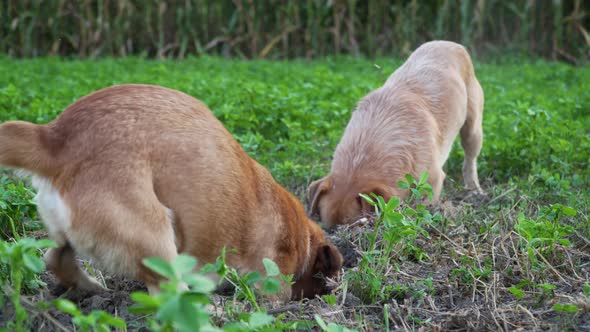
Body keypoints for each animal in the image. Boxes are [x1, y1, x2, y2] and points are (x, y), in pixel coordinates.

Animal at [0, 83, 344, 300]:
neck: (300, 235)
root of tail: (55, 140)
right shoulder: (272, 273)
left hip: (66, 234)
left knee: (55, 258)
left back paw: (93, 289)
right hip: (155, 235)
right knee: (168, 295)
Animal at [310, 40, 486, 228]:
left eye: (354, 225)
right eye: (327, 229)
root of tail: (452, 44)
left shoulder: (432, 181)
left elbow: (421, 208)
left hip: (473, 128)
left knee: (470, 159)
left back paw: (474, 189)